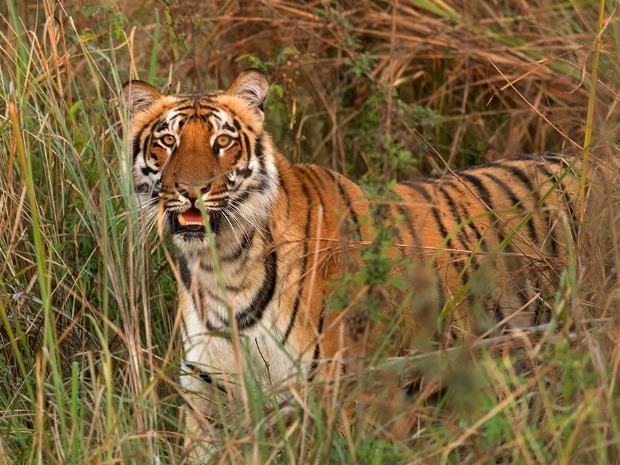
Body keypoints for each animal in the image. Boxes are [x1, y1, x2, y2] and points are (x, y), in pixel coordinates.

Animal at [122, 68, 600, 454]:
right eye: (168, 141)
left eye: (222, 142)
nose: (191, 189)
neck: (223, 265)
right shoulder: (208, 395)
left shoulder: (342, 392)